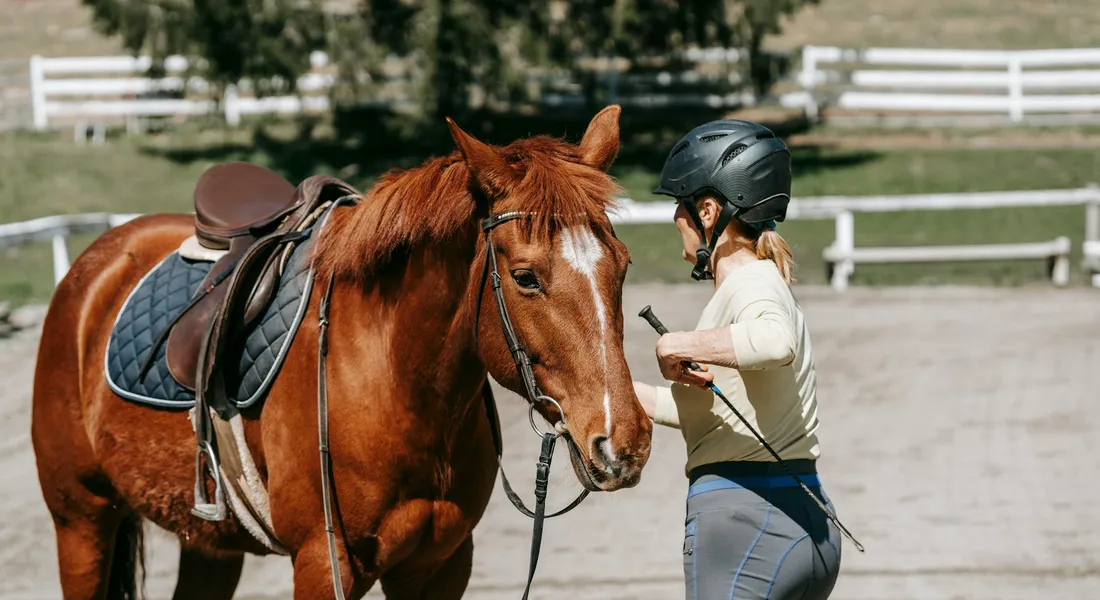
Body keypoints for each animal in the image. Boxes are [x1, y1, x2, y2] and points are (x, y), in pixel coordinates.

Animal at [30, 104, 653, 600]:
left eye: (623, 265)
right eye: (524, 278)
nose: (623, 441)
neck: (395, 384)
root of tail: (97, 264)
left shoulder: (442, 565)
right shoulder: (323, 565)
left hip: (207, 542)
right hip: (81, 519)